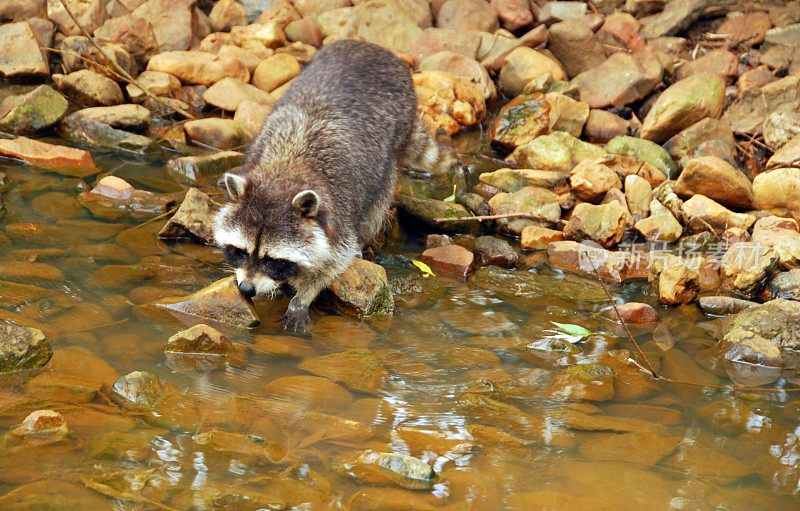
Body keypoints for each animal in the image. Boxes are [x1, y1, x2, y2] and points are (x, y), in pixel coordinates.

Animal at [216, 41, 460, 336]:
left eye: (273, 260)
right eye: (239, 251)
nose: (247, 289)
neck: (285, 169)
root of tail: (374, 47)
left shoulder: (339, 210)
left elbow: (334, 260)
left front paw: (303, 296)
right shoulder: (259, 153)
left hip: (392, 141)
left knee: (375, 208)